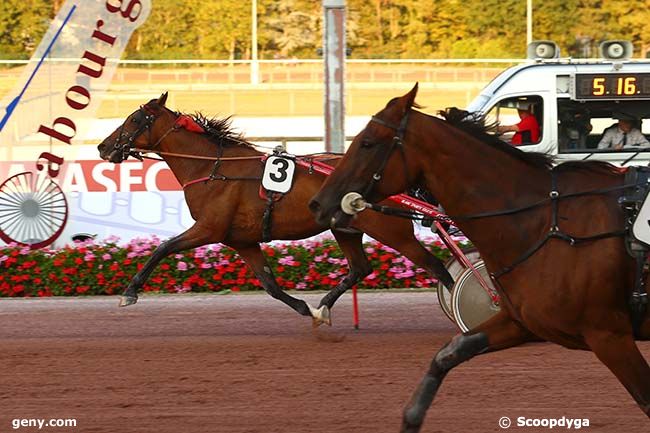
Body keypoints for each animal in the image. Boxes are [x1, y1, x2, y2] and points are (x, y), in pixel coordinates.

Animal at [96, 93, 454, 326]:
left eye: (134, 119)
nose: (103, 146)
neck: (213, 168)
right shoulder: (241, 240)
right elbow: (270, 285)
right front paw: (306, 309)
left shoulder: (208, 228)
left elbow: (163, 248)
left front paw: (130, 292)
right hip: (345, 228)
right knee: (360, 268)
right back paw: (324, 306)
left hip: (392, 232)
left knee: (437, 267)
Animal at [310, 83, 648, 428]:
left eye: (367, 142)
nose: (319, 203)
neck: (543, 221)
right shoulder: (522, 321)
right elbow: (449, 353)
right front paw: (411, 418)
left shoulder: (609, 335)